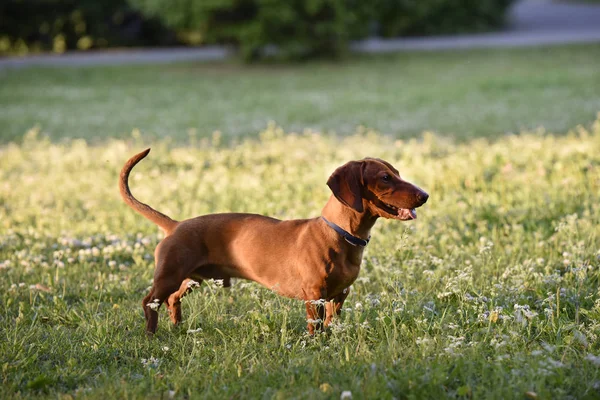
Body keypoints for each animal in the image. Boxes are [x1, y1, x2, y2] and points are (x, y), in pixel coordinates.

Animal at [118, 149, 426, 334]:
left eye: (398, 173)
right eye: (385, 177)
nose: (425, 195)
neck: (340, 235)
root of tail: (175, 224)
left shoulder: (339, 295)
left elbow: (330, 322)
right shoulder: (314, 294)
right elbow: (315, 326)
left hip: (192, 278)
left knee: (172, 299)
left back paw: (177, 327)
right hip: (169, 275)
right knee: (149, 302)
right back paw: (151, 335)